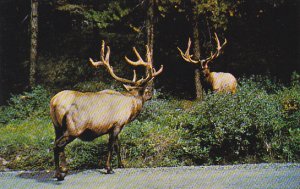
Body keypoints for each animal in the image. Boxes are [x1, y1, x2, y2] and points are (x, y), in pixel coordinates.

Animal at [51, 41, 164, 180]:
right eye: (147, 90)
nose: (151, 94)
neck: (130, 106)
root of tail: (54, 102)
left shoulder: (114, 127)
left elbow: (117, 145)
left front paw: (121, 164)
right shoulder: (117, 124)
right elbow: (111, 146)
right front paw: (109, 168)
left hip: (57, 127)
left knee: (55, 144)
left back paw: (58, 172)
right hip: (74, 128)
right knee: (58, 146)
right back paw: (62, 172)